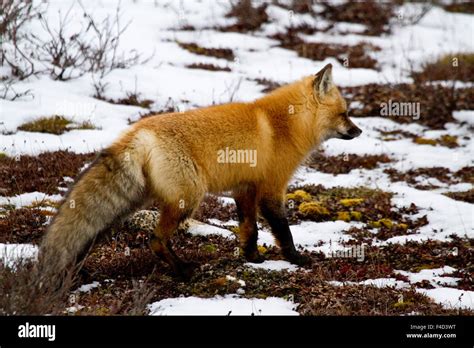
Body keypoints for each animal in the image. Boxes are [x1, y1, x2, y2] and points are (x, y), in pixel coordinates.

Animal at [40, 64, 362, 278]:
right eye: (345, 113)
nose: (359, 131)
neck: (285, 125)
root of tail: (138, 131)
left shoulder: (245, 188)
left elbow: (250, 228)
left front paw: (253, 258)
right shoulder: (272, 189)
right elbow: (283, 231)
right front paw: (296, 259)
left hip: (135, 200)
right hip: (188, 198)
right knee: (155, 239)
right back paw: (183, 270)